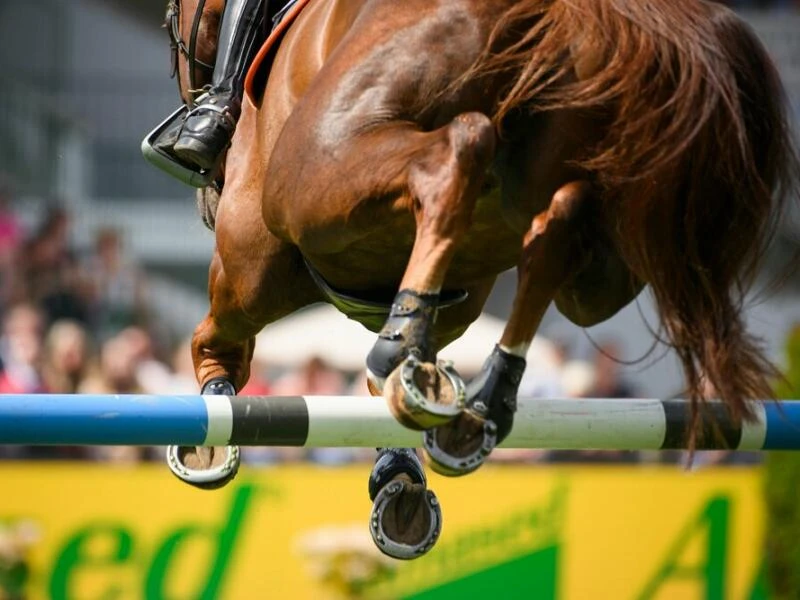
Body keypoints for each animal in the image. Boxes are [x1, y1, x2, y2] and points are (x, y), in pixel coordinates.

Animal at [166, 0, 796, 560]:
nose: (206, 195)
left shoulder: (249, 259)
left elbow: (213, 343)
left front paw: (210, 439)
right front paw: (403, 463)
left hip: (315, 174)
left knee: (457, 152)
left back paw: (410, 358)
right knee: (559, 225)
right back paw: (486, 398)